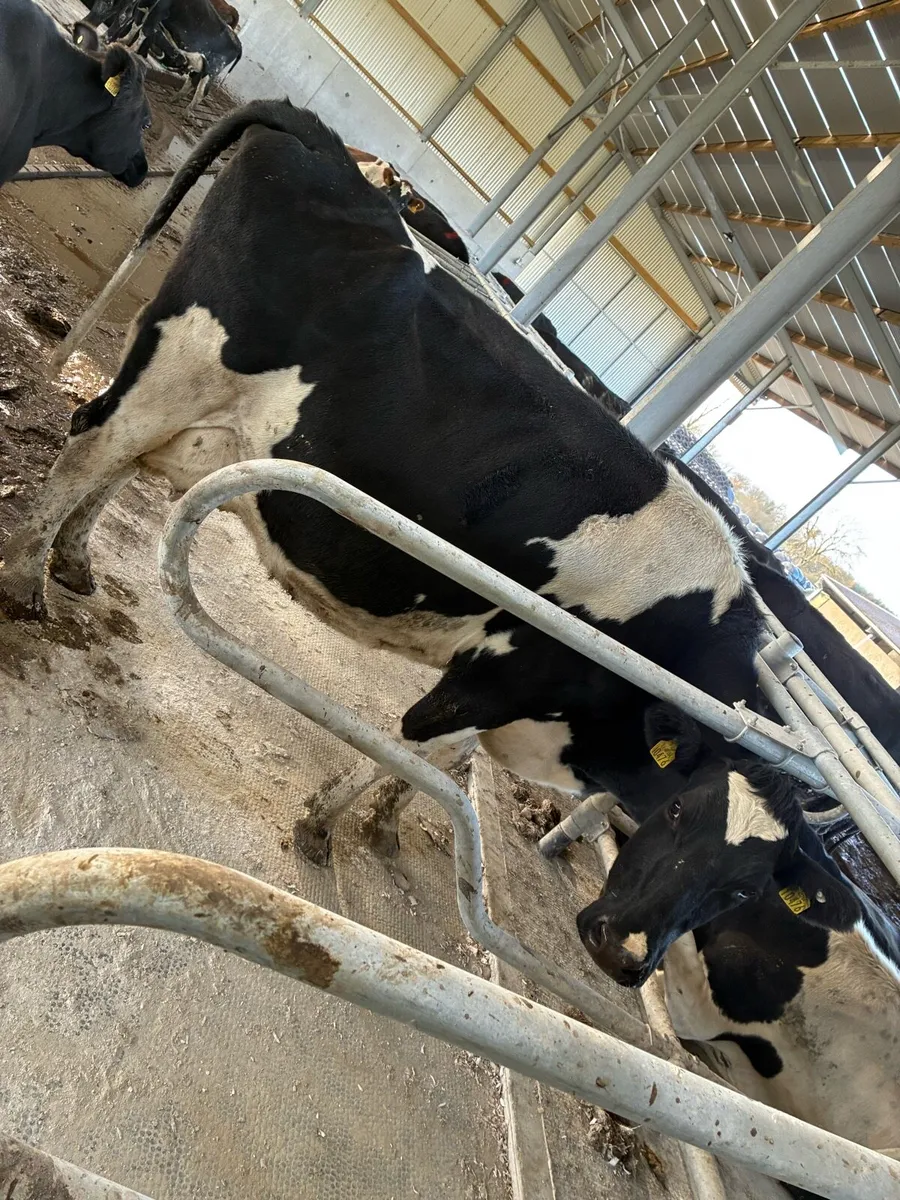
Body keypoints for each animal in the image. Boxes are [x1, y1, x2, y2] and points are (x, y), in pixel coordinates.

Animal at [0, 99, 765, 859]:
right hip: (186, 361)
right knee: (93, 443)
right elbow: (416, 743)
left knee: (131, 457)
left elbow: (448, 762)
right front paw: (323, 822)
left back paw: (73, 561)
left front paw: (387, 824)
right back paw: (24, 583)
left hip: (199, 392)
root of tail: (326, 145)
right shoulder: (497, 678)